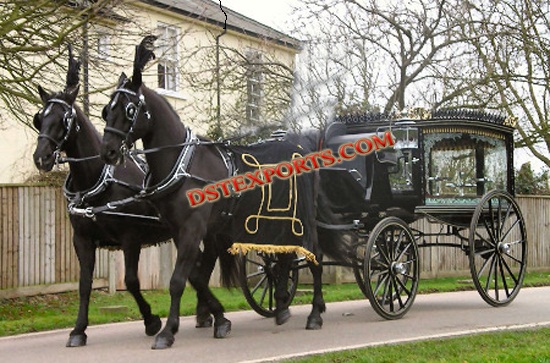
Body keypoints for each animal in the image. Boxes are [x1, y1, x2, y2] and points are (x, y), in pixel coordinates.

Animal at [32, 47, 235, 348]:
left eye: (63, 119)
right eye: (40, 118)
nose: (41, 157)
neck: (96, 178)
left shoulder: (131, 238)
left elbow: (130, 281)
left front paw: (153, 322)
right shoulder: (82, 239)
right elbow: (84, 284)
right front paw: (78, 330)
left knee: (200, 267)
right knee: (200, 268)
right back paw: (205, 314)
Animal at [99, 37, 328, 350]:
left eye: (130, 109)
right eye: (106, 109)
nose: (108, 151)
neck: (183, 164)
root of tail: (302, 149)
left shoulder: (193, 229)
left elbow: (178, 280)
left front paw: (167, 331)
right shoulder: (184, 231)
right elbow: (196, 276)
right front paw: (219, 318)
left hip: (303, 219)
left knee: (314, 256)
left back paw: (315, 312)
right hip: (276, 221)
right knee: (282, 259)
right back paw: (281, 307)